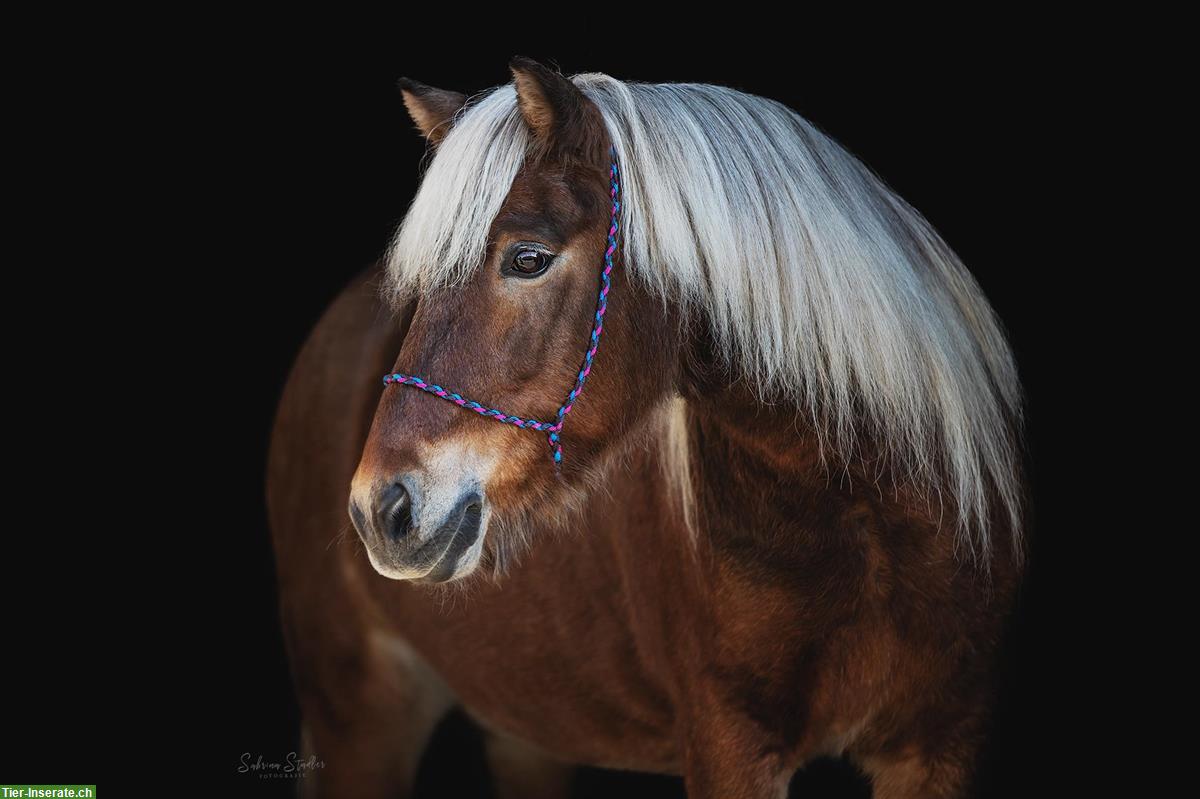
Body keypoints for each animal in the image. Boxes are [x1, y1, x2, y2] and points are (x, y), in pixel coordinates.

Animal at [267, 57, 1027, 796]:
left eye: (527, 258)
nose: (380, 509)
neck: (868, 519)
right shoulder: (729, 743)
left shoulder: (942, 744)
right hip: (362, 720)